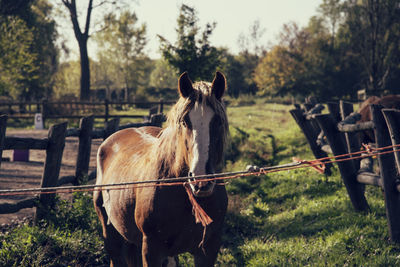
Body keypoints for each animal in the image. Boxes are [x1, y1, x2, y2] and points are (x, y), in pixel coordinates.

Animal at [94, 71, 230, 267]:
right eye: (185, 122)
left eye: (217, 121)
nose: (201, 181)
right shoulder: (152, 250)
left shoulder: (208, 249)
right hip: (111, 234)